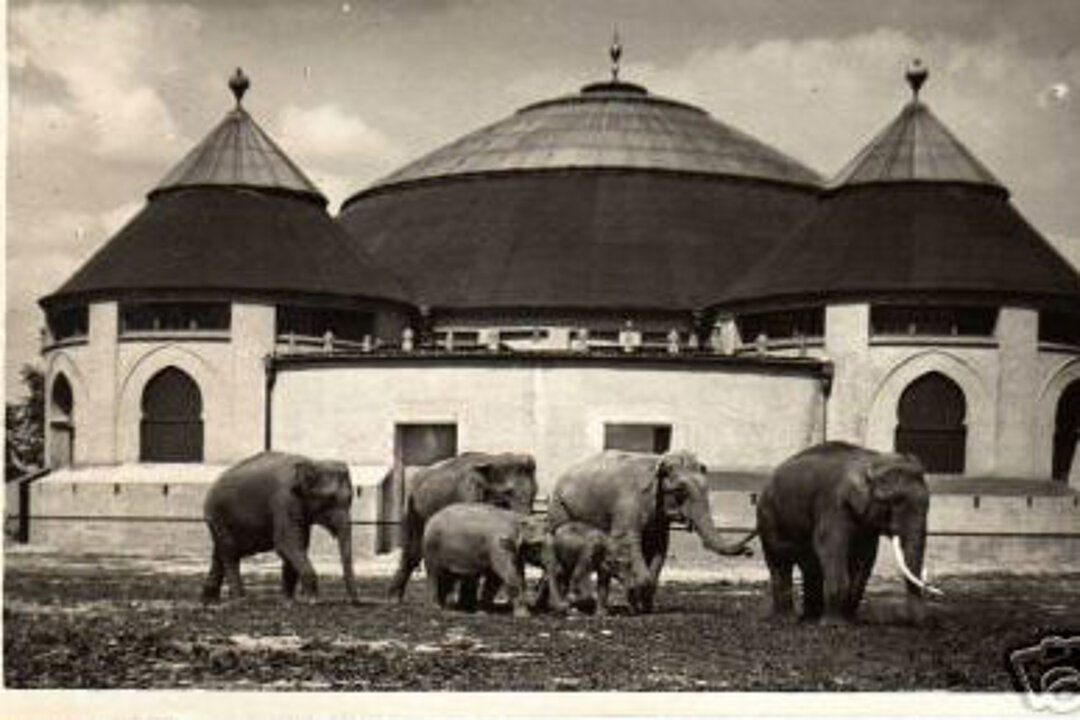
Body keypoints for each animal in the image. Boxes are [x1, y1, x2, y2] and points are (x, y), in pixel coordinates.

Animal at [388, 451, 540, 604]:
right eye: (508, 492)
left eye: (535, 492)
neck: (493, 459)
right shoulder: (467, 493)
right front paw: (468, 604)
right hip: (412, 508)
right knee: (414, 549)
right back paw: (395, 599)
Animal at [421, 505, 552, 617]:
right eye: (537, 545)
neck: (518, 519)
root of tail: (431, 517)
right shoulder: (499, 546)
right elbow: (509, 575)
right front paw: (524, 615)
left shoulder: (511, 550)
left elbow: (502, 578)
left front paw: (483, 611)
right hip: (431, 548)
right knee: (434, 574)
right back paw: (435, 608)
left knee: (448, 577)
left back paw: (444, 607)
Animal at [548, 451, 751, 613]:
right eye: (680, 489)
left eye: (707, 489)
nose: (749, 551)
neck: (659, 461)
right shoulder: (627, 505)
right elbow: (629, 541)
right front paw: (637, 605)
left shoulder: (659, 517)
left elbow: (660, 548)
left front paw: (645, 607)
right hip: (560, 507)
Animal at [756, 442, 941, 621]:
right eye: (895, 502)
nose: (917, 622)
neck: (871, 460)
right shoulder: (833, 505)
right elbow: (830, 548)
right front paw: (835, 624)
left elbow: (863, 558)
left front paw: (849, 620)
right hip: (768, 517)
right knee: (780, 562)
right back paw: (787, 619)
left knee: (810, 565)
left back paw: (810, 618)